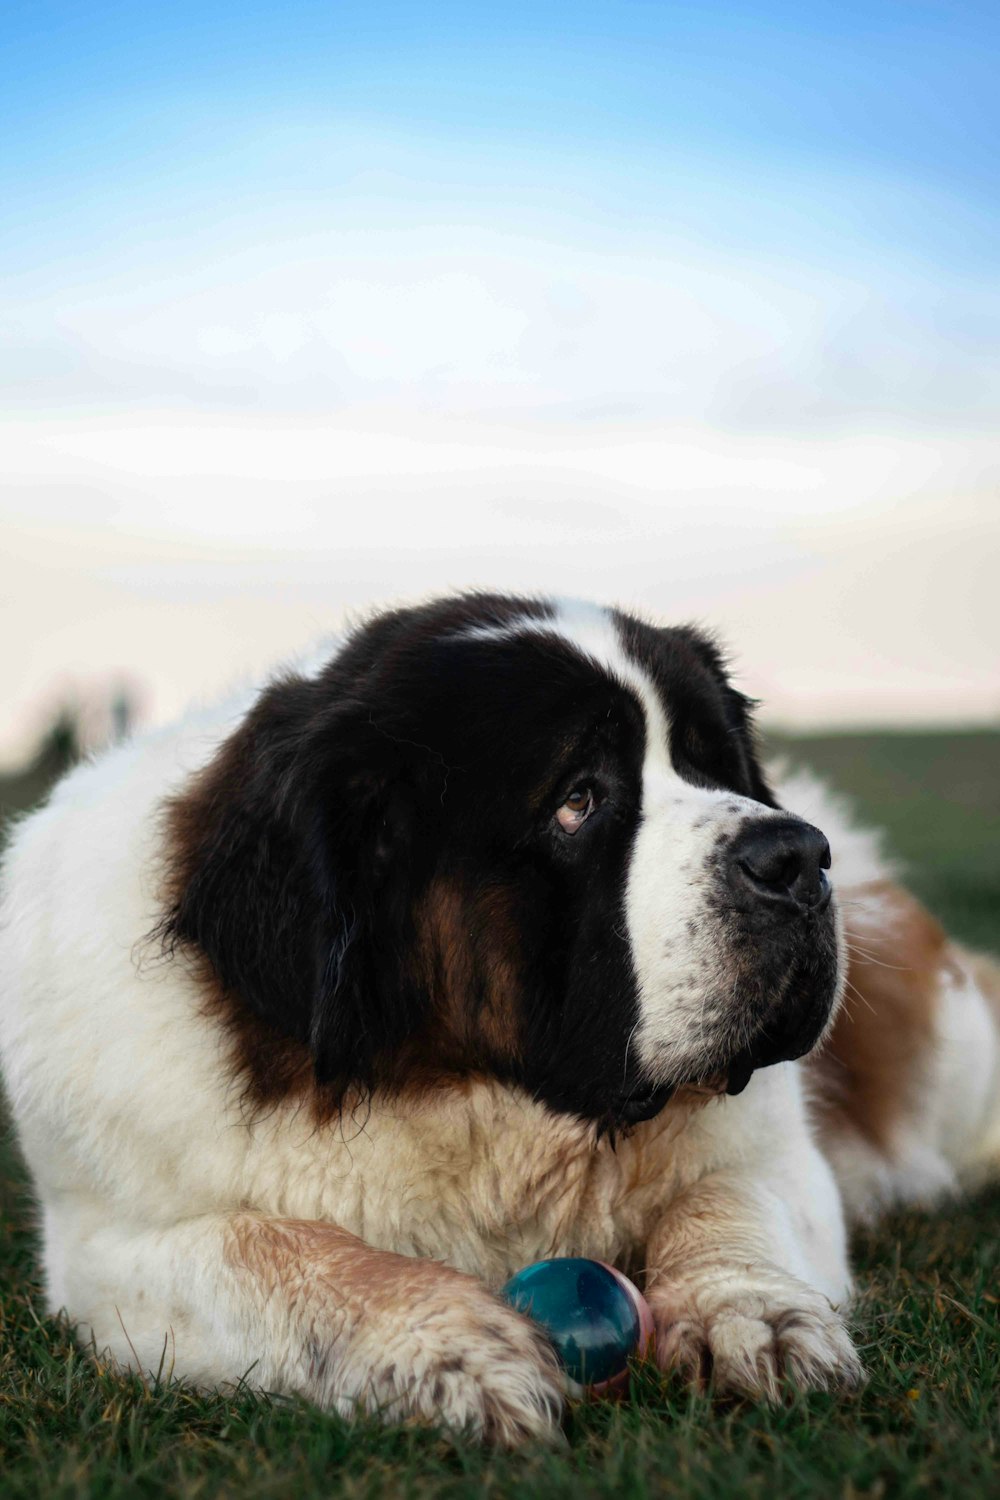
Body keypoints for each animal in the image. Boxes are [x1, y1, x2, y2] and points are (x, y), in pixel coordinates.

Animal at [1, 588, 1000, 1440]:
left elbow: (725, 1201)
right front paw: (446, 1350)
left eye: (717, 770)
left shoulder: (776, 1156)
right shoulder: (112, 1250)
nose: (794, 855)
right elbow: (273, 1250)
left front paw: (753, 1317)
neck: (482, 1096)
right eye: (578, 799)